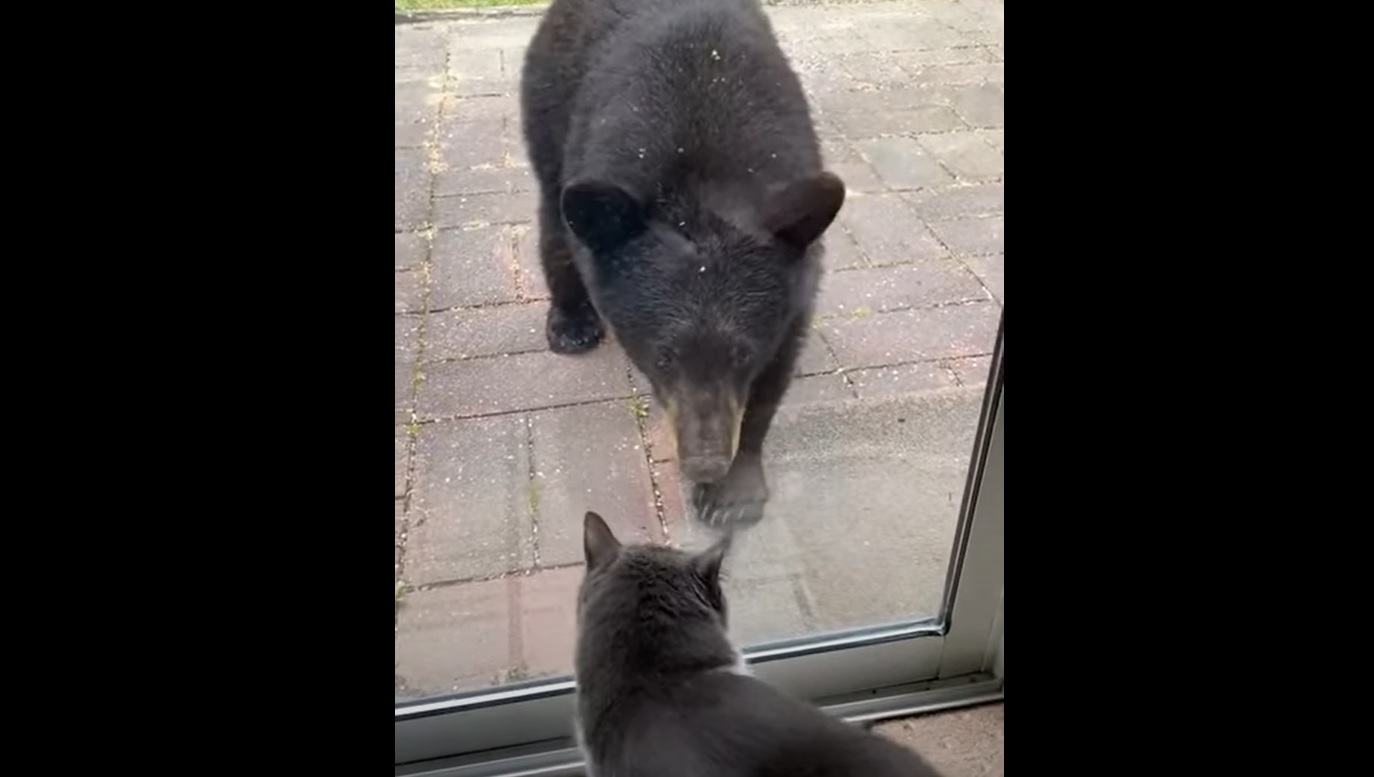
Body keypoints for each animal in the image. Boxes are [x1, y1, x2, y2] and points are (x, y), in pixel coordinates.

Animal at [519, 0, 840, 529]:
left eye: (742, 355)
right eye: (663, 356)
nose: (705, 461)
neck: (699, 187)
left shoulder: (796, 279)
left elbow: (774, 374)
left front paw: (734, 490)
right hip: (547, 96)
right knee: (553, 209)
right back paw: (571, 321)